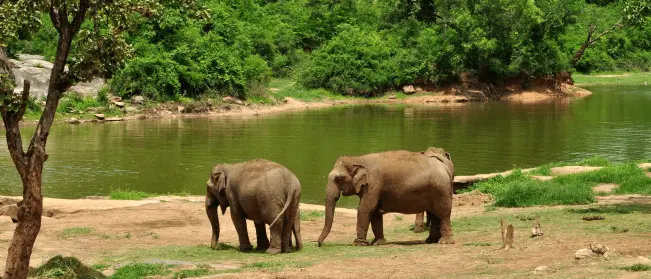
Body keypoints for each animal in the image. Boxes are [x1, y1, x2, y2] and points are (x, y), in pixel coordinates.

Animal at [318, 151, 456, 247]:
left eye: (338, 179)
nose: (319, 244)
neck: (359, 158)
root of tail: (445, 168)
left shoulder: (373, 184)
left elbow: (365, 209)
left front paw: (359, 244)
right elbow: (375, 212)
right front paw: (378, 242)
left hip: (440, 189)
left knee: (443, 213)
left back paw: (445, 242)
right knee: (434, 214)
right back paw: (431, 241)